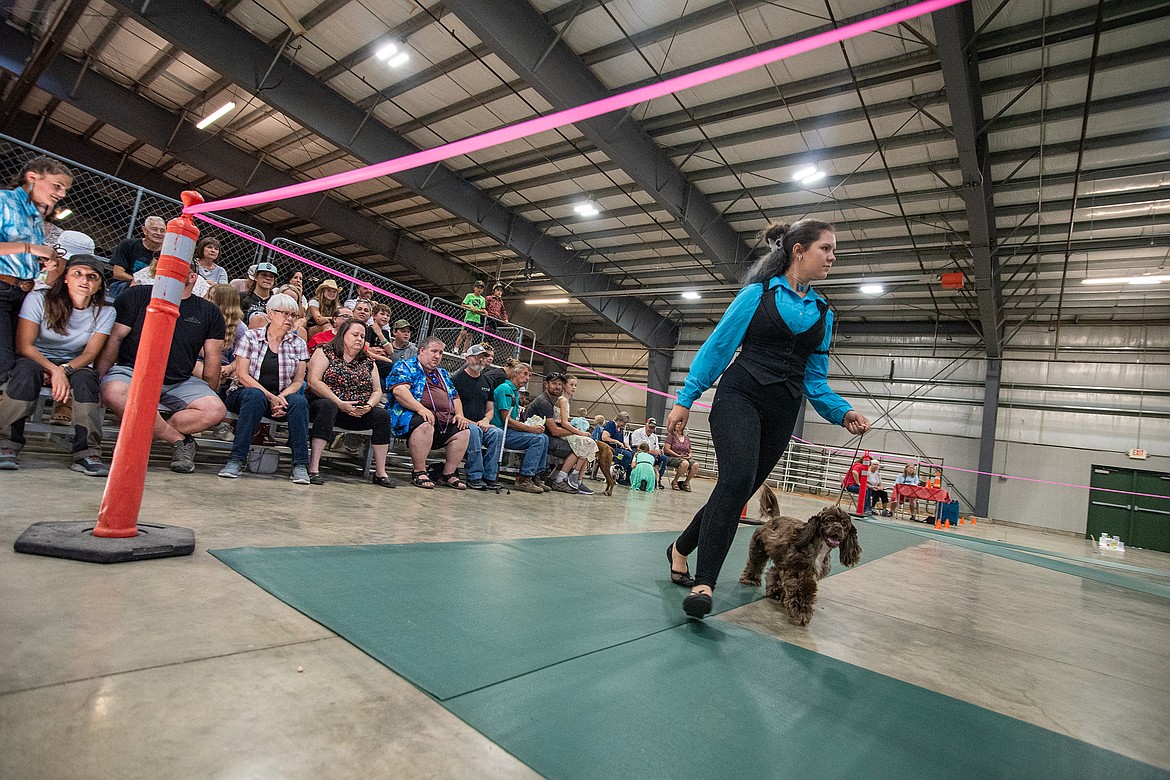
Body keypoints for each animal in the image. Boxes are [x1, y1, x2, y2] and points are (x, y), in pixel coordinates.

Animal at [739, 491, 861, 626]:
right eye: (829, 520)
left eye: (844, 525)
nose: (838, 527)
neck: (820, 547)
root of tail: (776, 517)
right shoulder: (799, 573)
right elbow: (802, 593)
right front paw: (801, 613)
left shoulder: (797, 569)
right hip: (759, 547)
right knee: (755, 562)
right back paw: (751, 579)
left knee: (774, 571)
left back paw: (775, 591)